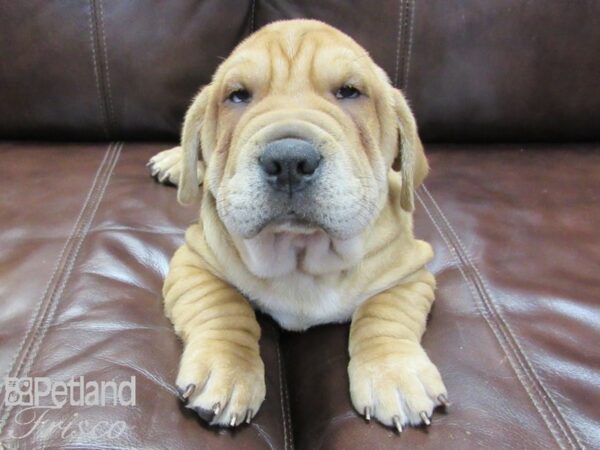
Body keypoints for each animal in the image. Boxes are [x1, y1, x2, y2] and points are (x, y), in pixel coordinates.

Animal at [149, 18, 448, 432]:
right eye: (237, 96)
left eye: (349, 92)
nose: (289, 160)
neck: (299, 250)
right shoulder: (194, 260)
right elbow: (222, 307)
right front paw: (227, 369)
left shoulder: (410, 270)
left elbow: (385, 313)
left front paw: (394, 373)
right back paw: (177, 162)